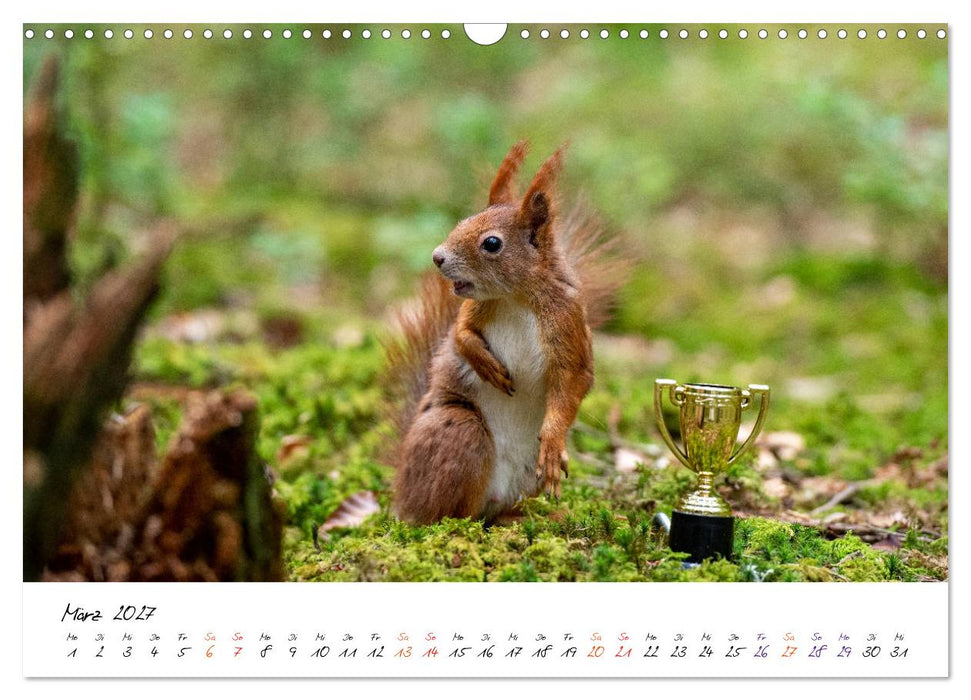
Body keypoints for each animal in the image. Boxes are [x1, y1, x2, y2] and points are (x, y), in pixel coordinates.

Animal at [387, 141, 624, 525]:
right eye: (463, 221)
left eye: (492, 244)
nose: (437, 257)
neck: (517, 298)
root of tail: (403, 494)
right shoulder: (475, 308)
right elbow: (460, 333)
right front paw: (485, 365)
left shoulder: (567, 322)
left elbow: (573, 382)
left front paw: (554, 443)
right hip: (461, 431)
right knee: (449, 514)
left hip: (519, 468)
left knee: (489, 513)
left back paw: (525, 516)